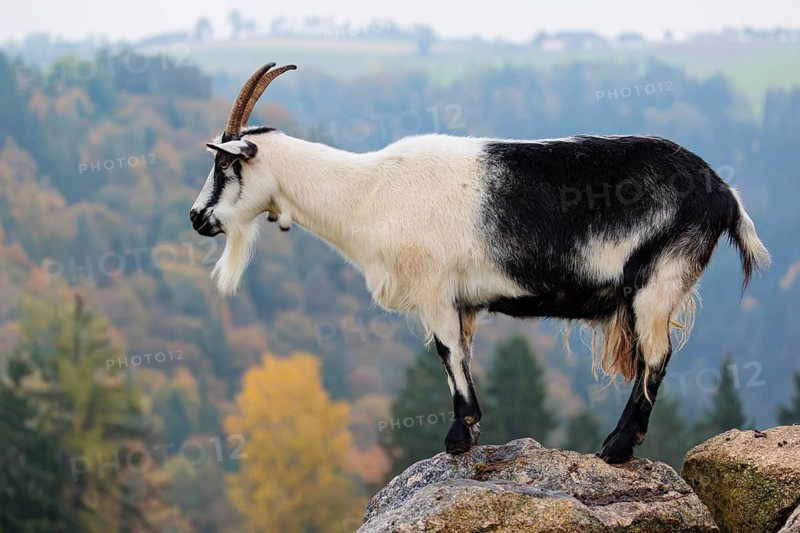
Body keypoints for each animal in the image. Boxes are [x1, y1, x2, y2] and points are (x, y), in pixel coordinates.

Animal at [190, 63, 770, 463]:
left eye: (225, 165)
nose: (197, 218)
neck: (368, 193)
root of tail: (723, 194)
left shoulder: (434, 288)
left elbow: (447, 353)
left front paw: (457, 438)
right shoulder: (463, 301)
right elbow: (462, 355)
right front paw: (469, 432)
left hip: (658, 279)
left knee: (656, 357)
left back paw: (616, 448)